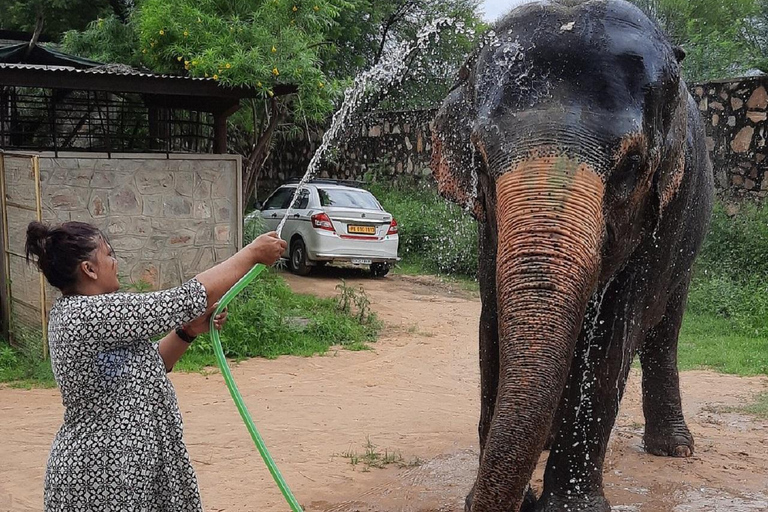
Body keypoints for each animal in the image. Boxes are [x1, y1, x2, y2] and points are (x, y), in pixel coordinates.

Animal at [430, 1, 714, 511]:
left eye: (632, 166)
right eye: (480, 160)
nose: (519, 501)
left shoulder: (665, 217)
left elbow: (615, 333)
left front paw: (567, 507)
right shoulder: (489, 229)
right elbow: (493, 322)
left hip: (692, 237)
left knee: (665, 327)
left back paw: (675, 449)